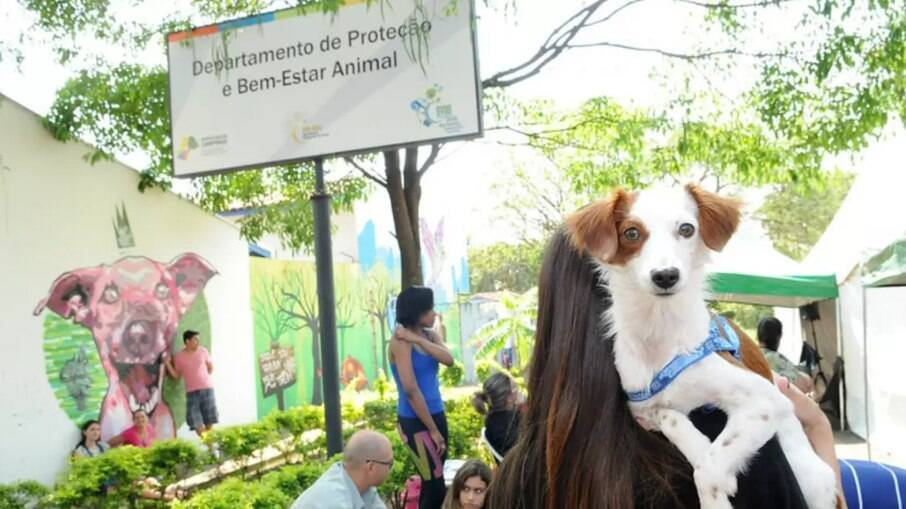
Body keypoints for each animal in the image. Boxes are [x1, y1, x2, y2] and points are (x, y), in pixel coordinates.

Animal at [564, 185, 832, 508]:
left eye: (686, 229)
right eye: (631, 233)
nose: (666, 275)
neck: (661, 332)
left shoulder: (766, 400)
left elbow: (708, 468)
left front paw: (716, 494)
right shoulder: (640, 407)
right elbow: (671, 418)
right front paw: (701, 448)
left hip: (815, 480)